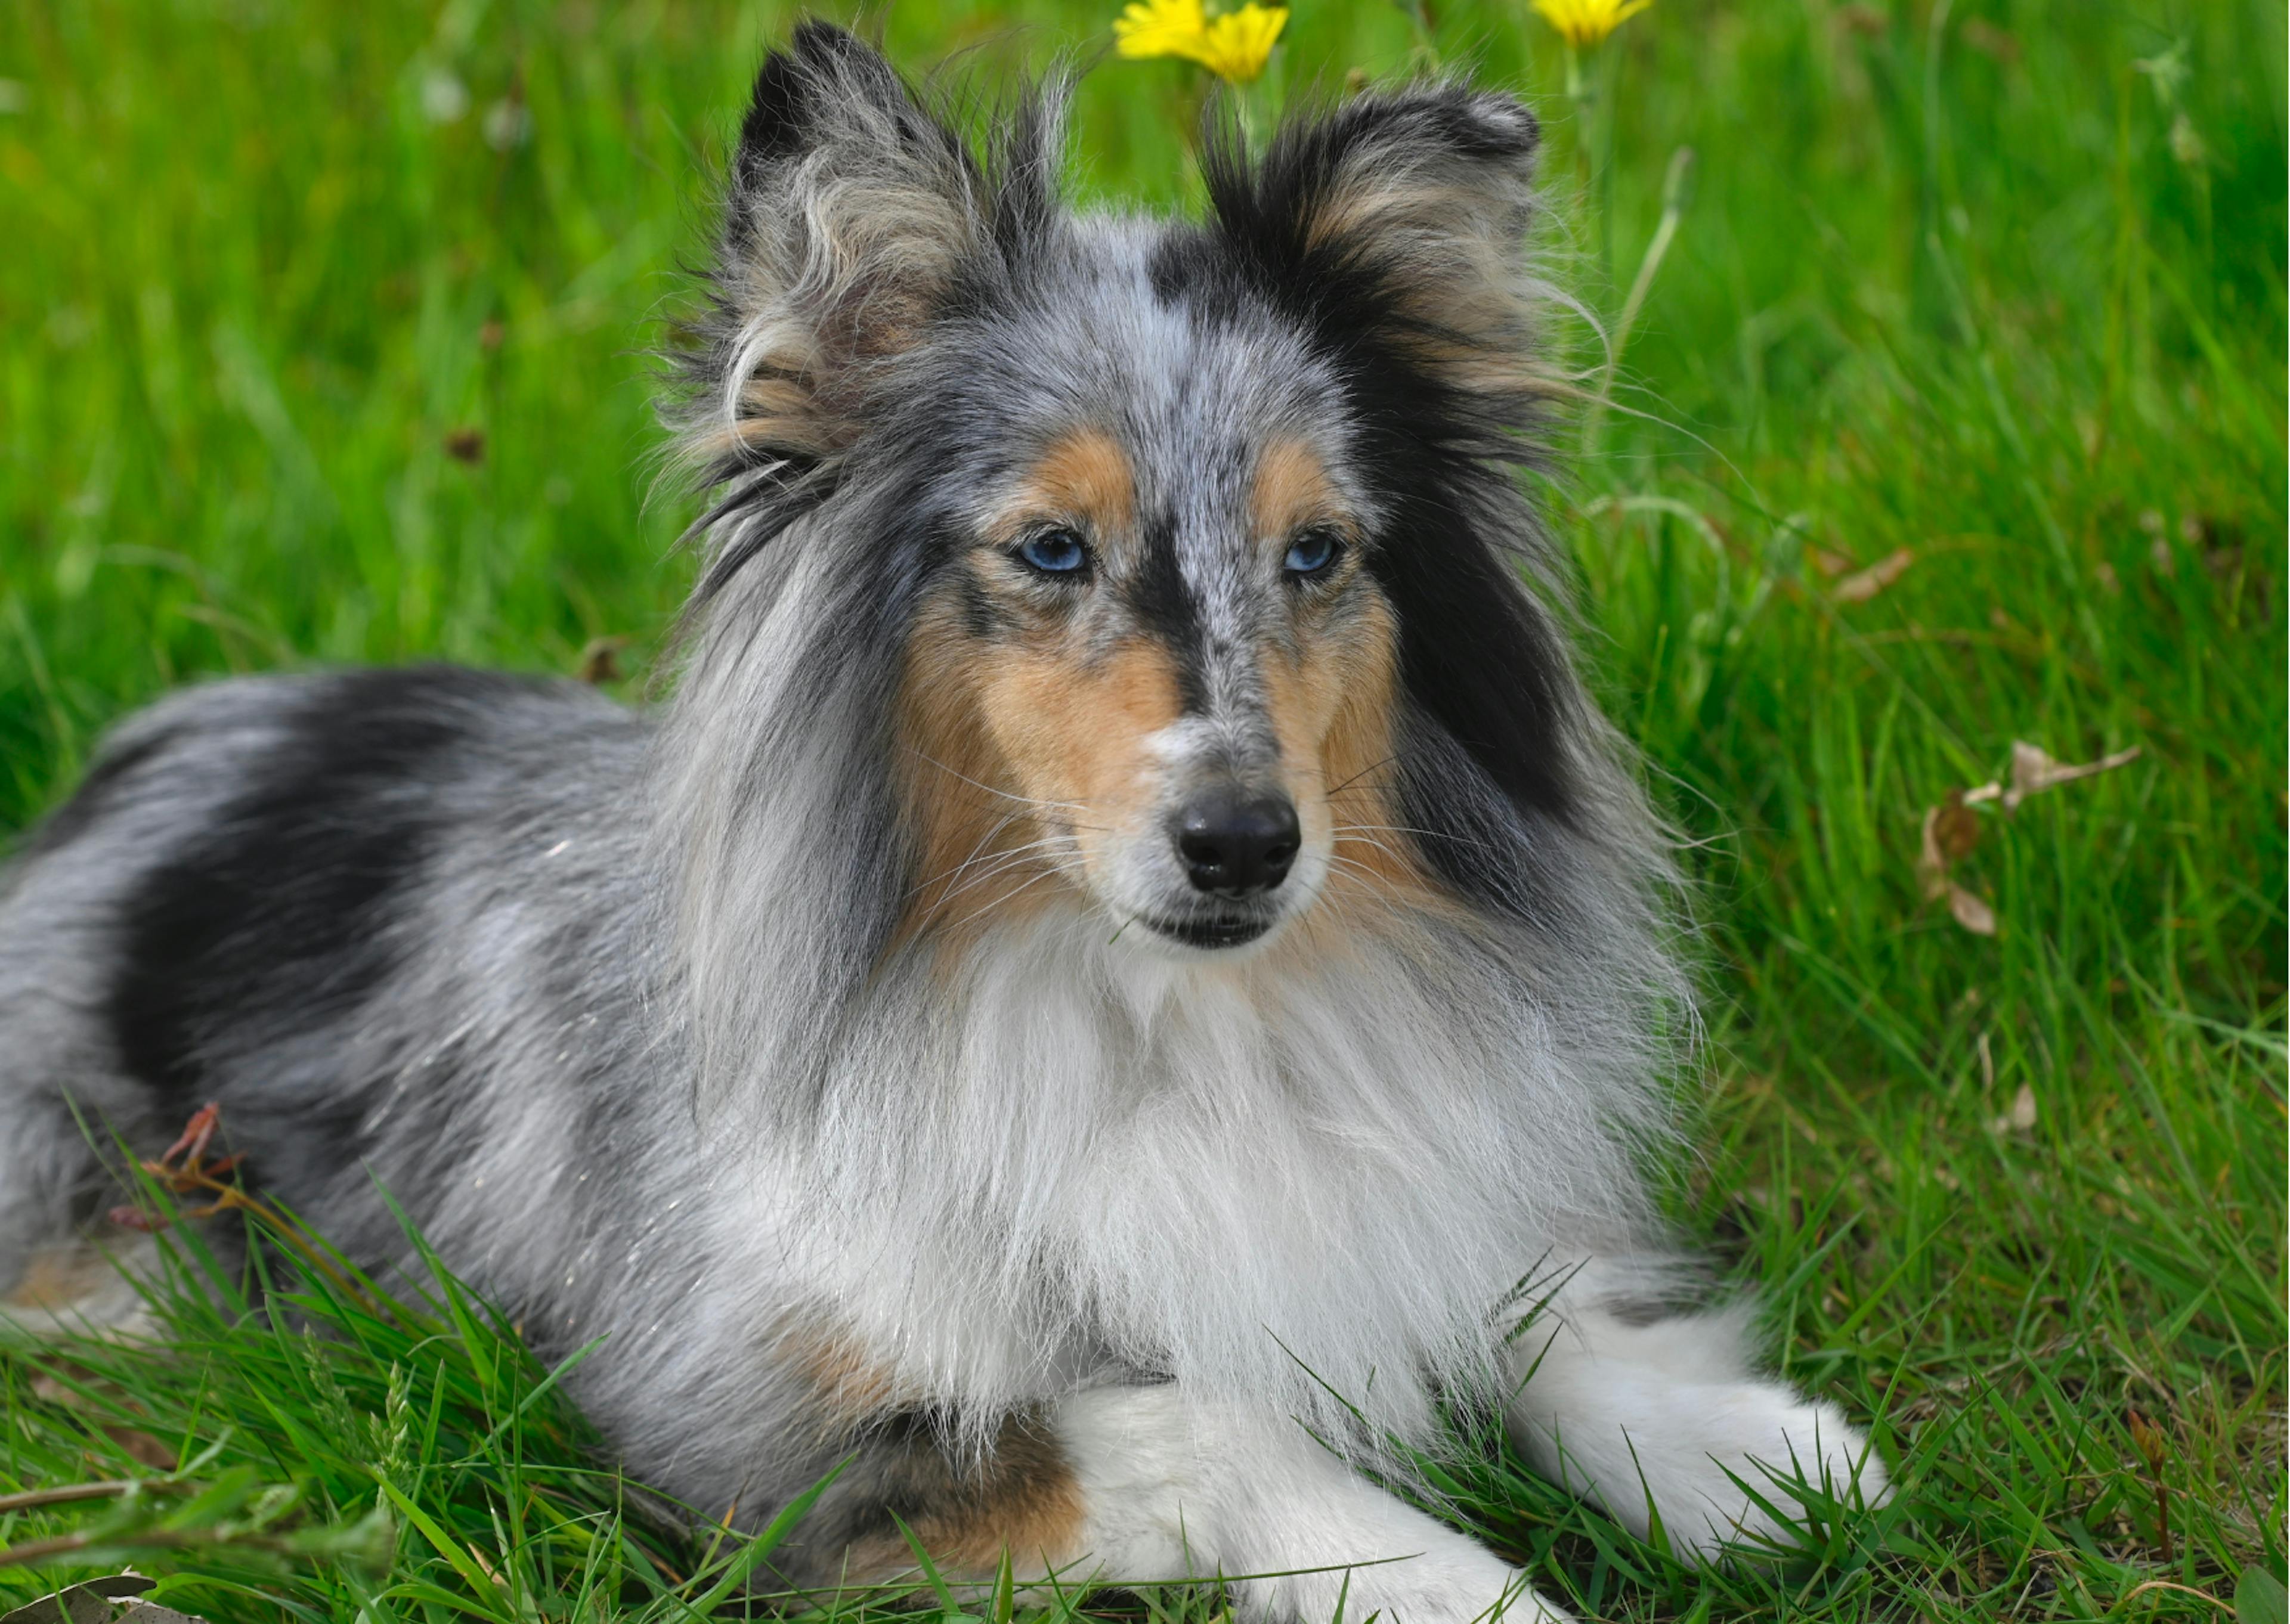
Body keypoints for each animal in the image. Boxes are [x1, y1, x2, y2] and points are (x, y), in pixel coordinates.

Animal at [0, 28, 1887, 1622]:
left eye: (1318, 551)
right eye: (1049, 547)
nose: (1245, 845)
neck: (1157, 1013)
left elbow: (1514, 1297)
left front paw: (1746, 1452)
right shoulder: (754, 1423)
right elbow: (1211, 1417)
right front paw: (1464, 1585)